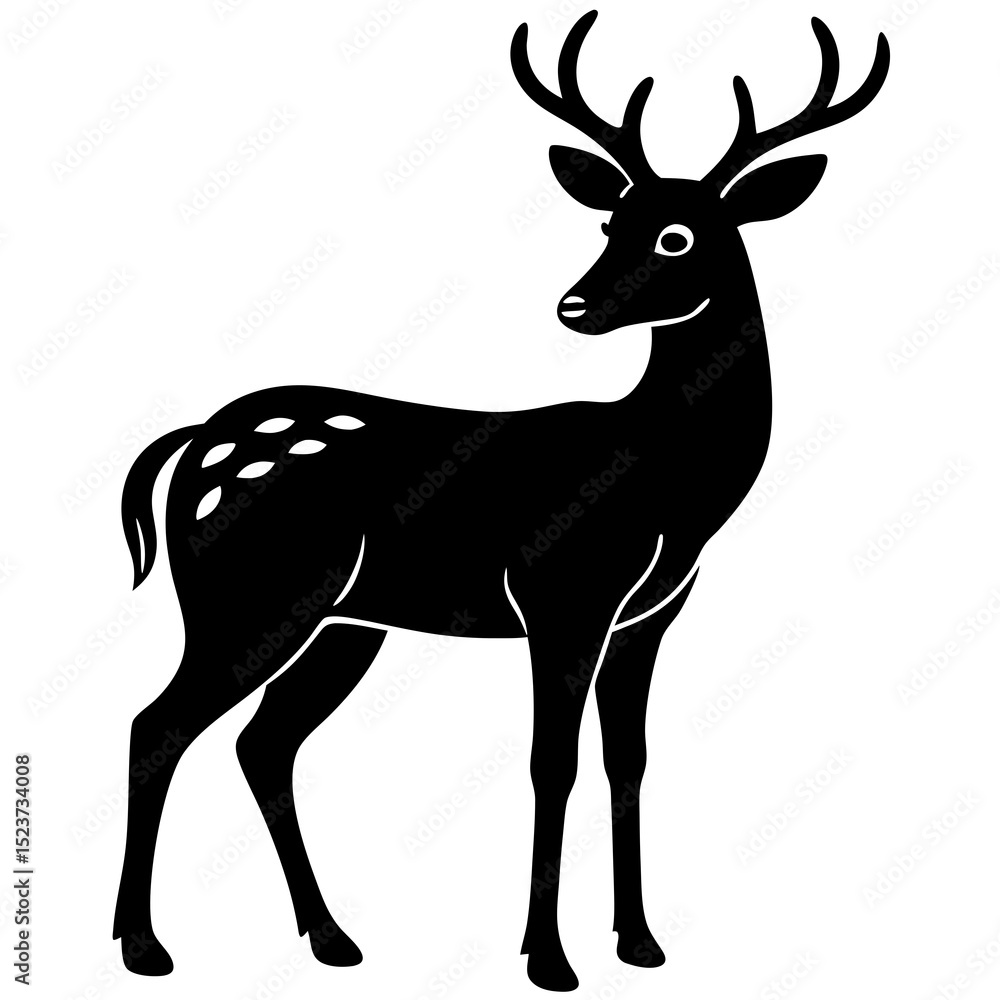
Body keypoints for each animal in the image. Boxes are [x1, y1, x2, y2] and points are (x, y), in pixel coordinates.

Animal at [111, 10, 888, 992]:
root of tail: (189, 443)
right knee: (158, 725)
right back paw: (145, 946)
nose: (576, 305)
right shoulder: (563, 593)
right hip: (247, 596)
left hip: (343, 622)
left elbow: (627, 762)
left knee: (263, 743)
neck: (671, 483)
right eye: (610, 216)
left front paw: (640, 943)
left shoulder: (649, 617)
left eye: (677, 236)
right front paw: (548, 958)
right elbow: (550, 764)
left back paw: (331, 937)